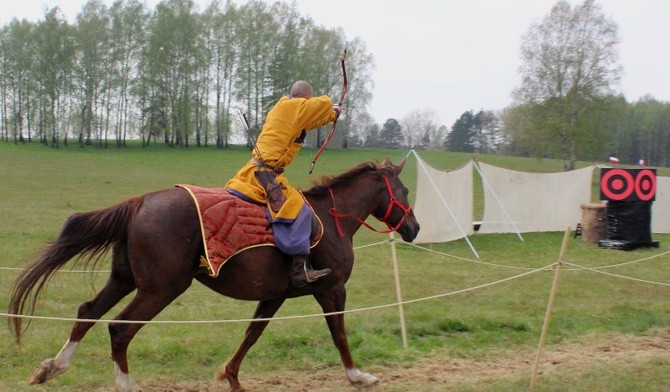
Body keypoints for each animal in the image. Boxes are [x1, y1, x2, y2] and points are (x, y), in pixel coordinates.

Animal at [7, 158, 420, 390]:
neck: (332, 220)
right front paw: (359, 376)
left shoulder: (274, 295)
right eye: (404, 188)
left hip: (125, 280)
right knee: (120, 329)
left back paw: (52, 367)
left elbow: (252, 334)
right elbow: (340, 336)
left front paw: (231, 377)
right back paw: (123, 384)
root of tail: (140, 202)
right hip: (160, 288)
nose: (414, 228)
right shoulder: (331, 289)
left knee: (87, 312)